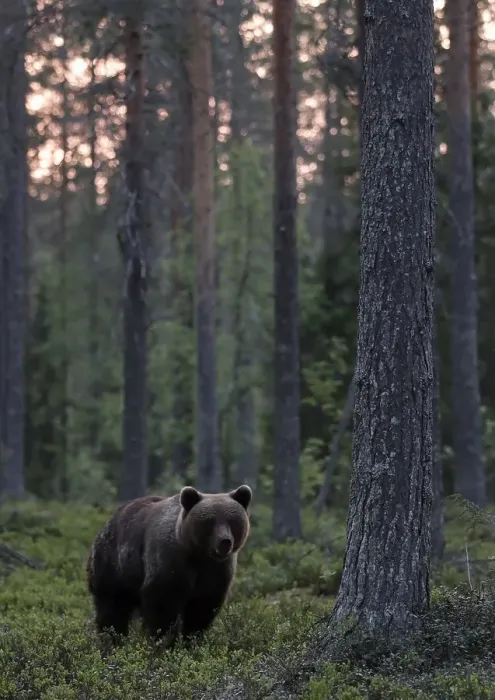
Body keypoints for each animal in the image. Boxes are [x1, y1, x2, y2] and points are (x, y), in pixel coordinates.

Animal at [86, 484, 252, 646]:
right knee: (112, 611)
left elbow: (201, 610)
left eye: (232, 520)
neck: (199, 555)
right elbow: (162, 607)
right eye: (209, 521)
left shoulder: (217, 573)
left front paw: (192, 641)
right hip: (113, 568)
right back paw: (112, 643)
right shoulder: (170, 563)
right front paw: (163, 642)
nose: (225, 541)